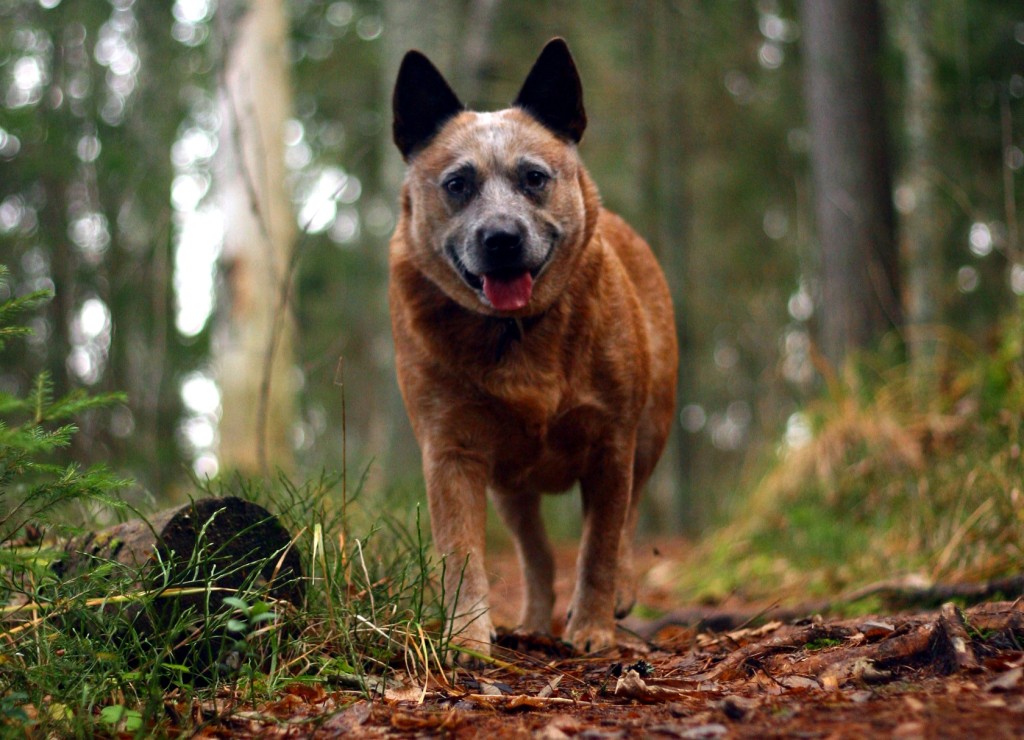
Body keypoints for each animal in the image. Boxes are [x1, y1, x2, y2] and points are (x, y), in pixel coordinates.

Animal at [387, 37, 675, 655]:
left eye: (534, 177)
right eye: (457, 184)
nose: (501, 238)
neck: (517, 333)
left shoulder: (611, 442)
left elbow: (599, 547)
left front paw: (592, 628)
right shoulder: (452, 450)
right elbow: (461, 554)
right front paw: (468, 638)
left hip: (651, 430)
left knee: (630, 516)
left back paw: (617, 596)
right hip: (511, 485)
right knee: (536, 554)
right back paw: (534, 622)